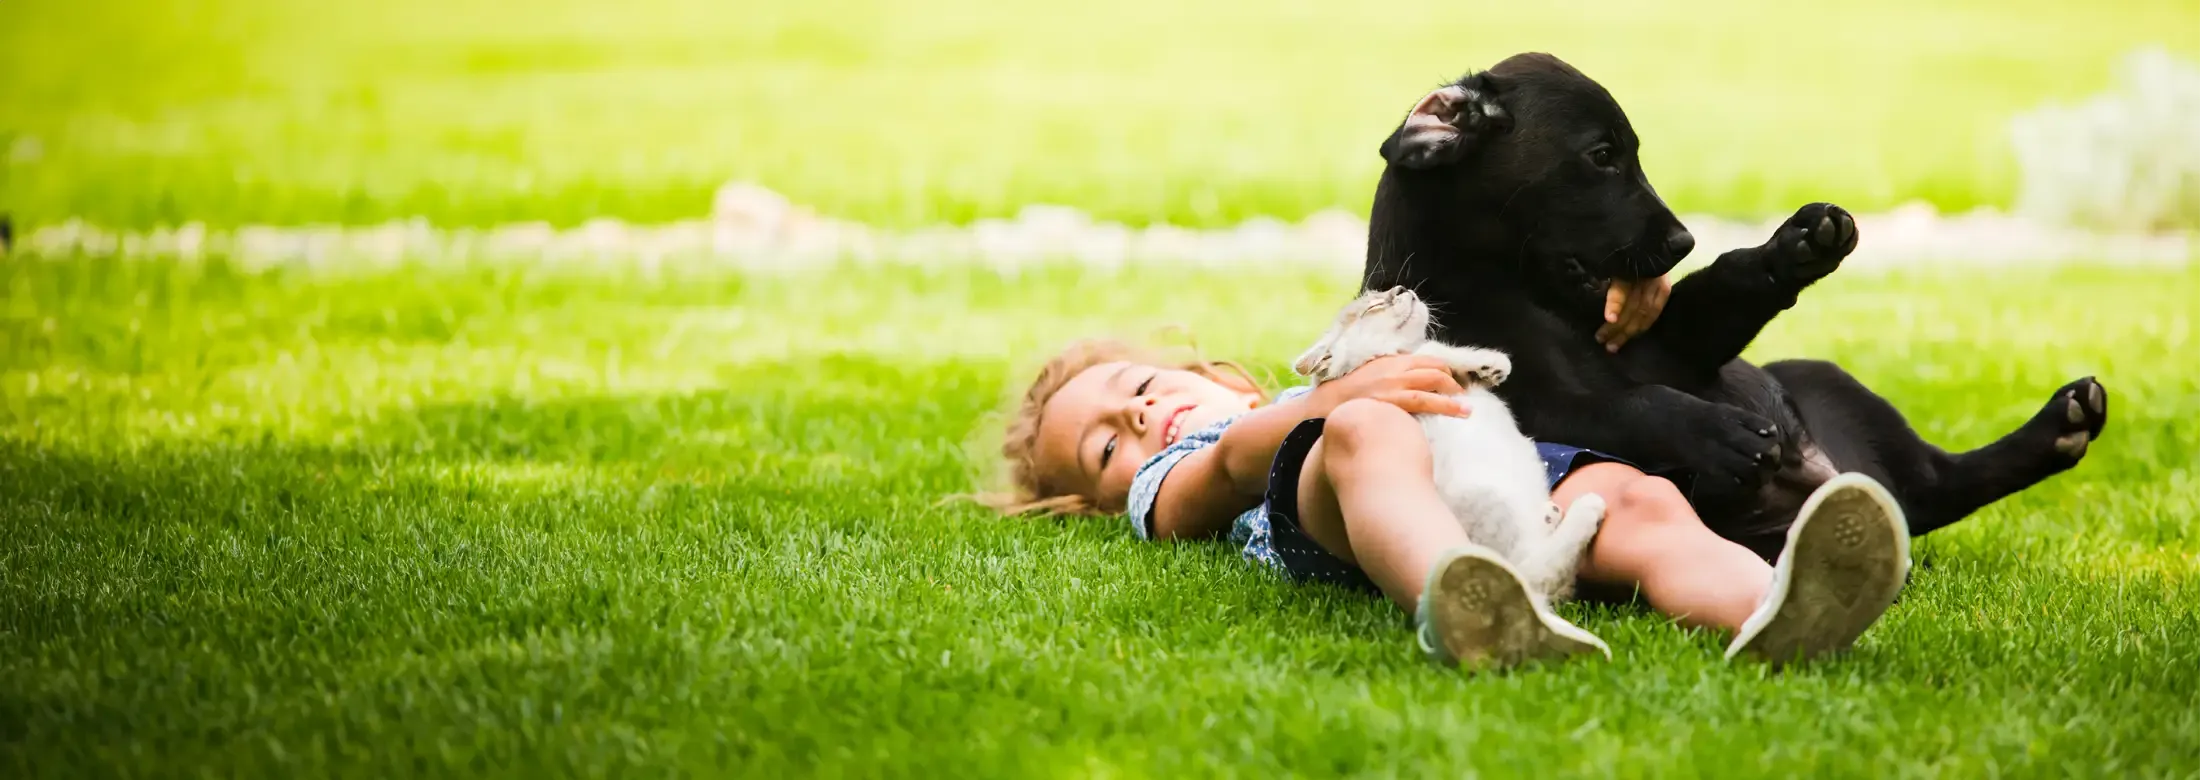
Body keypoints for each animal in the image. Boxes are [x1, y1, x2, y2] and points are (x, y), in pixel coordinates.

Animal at [1293, 287, 1610, 606]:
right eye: (1374, 305)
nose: (1401, 289)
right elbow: (1434, 351)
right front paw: (1489, 362)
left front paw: (1487, 371)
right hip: (1490, 502)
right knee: (1533, 573)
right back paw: (1586, 509)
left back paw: (1549, 517)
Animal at [1364, 51, 2103, 558]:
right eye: (1602, 156)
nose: (1682, 241)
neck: (1525, 293)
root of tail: (1842, 483)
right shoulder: (1542, 404)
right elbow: (1633, 404)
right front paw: (1718, 435)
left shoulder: (1673, 347)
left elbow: (1721, 291)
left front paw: (1799, 246)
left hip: (1825, 378)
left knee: (1944, 479)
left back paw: (2061, 423)